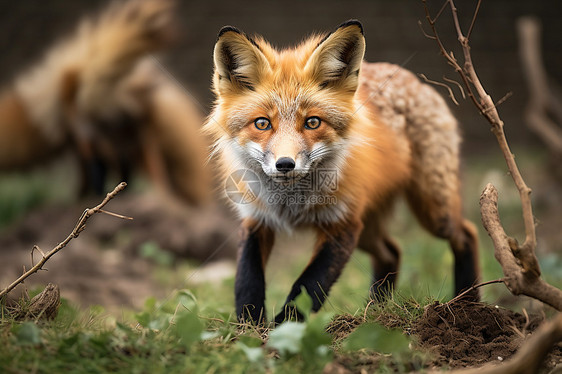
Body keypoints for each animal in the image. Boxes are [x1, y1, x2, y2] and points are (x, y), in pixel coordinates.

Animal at [206, 21, 476, 324]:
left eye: (312, 122)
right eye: (262, 123)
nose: (285, 164)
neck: (291, 204)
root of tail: (414, 79)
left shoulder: (342, 223)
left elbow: (308, 285)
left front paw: (284, 328)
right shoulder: (256, 218)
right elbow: (247, 280)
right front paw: (249, 328)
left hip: (433, 211)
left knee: (466, 233)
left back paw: (470, 304)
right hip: (368, 226)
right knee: (391, 251)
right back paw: (377, 311)